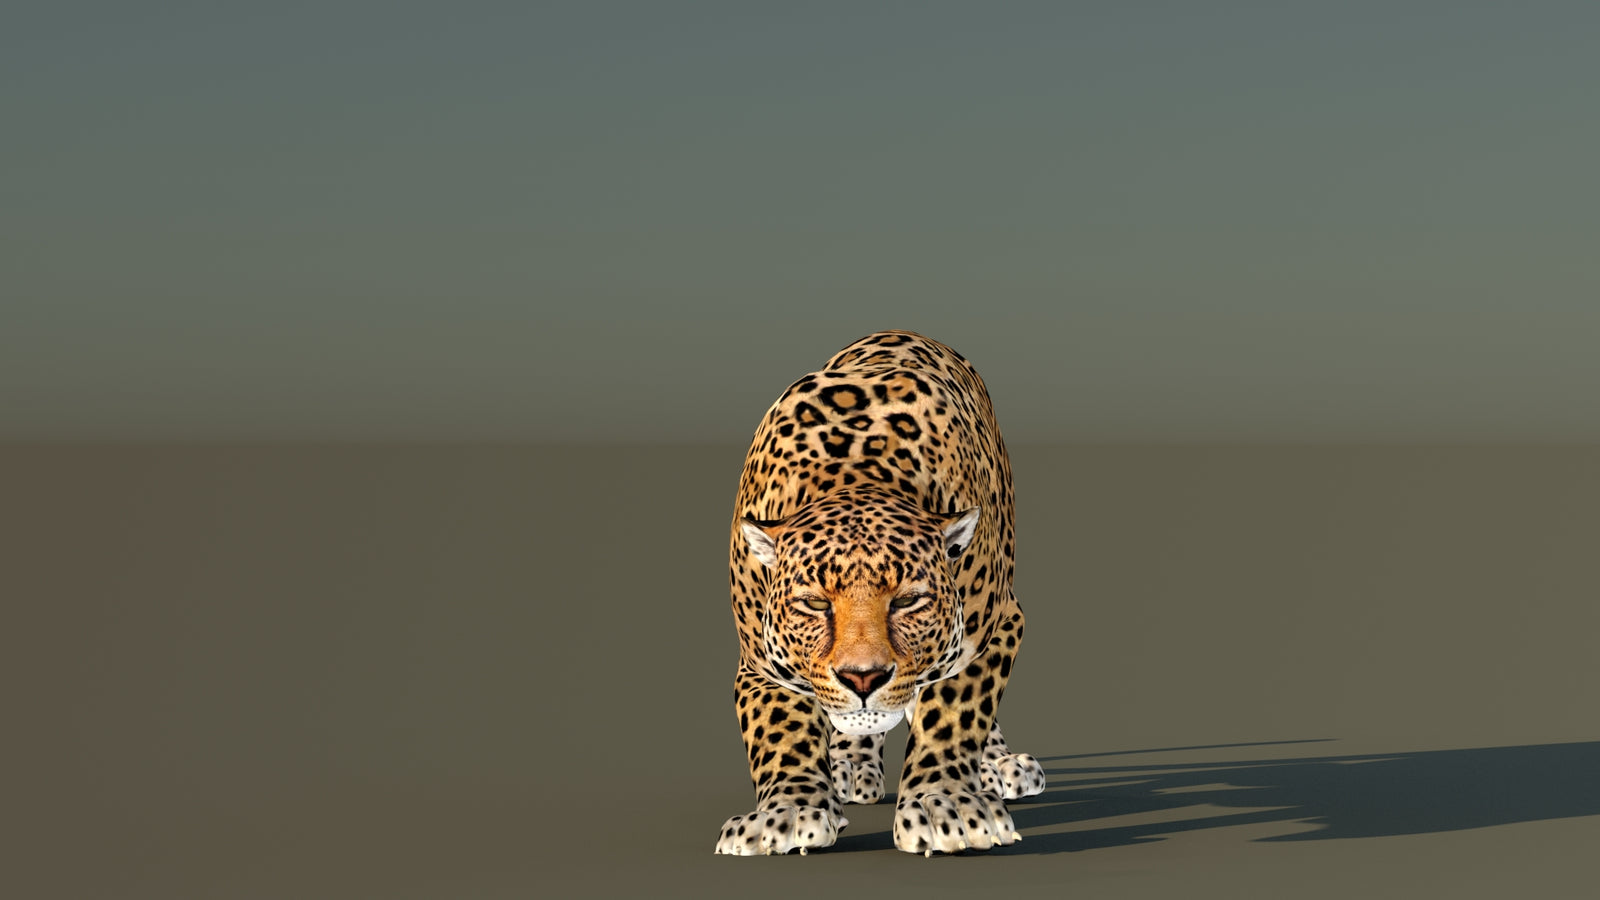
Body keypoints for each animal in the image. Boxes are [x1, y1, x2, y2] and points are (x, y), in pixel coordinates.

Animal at [714, 330, 1046, 857]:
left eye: (908, 601)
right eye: (814, 604)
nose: (863, 678)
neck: (855, 478)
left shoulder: (1000, 626)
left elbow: (956, 709)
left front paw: (945, 804)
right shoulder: (760, 666)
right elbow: (781, 731)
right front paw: (788, 812)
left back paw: (999, 765)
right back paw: (848, 765)